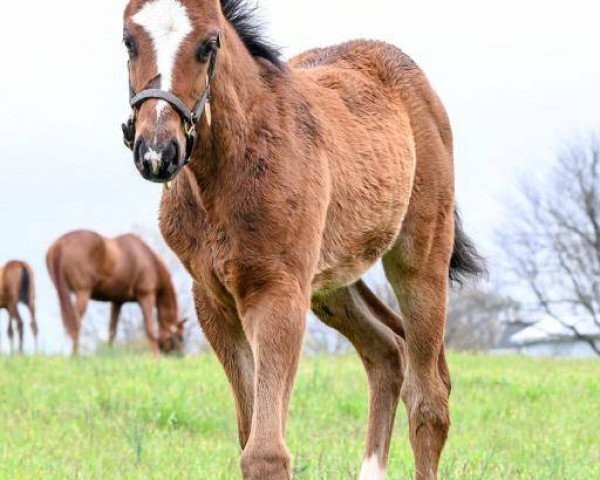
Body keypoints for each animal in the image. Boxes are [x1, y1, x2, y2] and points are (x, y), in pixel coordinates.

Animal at [46, 231, 184, 358]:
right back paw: (75, 355)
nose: (180, 356)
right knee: (76, 321)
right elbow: (150, 328)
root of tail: (60, 244)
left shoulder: (117, 301)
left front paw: (109, 354)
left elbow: (112, 329)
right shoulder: (146, 295)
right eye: (181, 337)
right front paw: (156, 357)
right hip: (82, 292)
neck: (150, 261)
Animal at [120, 1, 482, 478]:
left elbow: (265, 452)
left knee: (429, 398)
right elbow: (248, 431)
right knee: (388, 351)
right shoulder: (213, 301)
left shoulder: (277, 292)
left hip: (419, 255)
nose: (157, 152)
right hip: (330, 281)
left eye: (209, 44)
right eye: (128, 41)